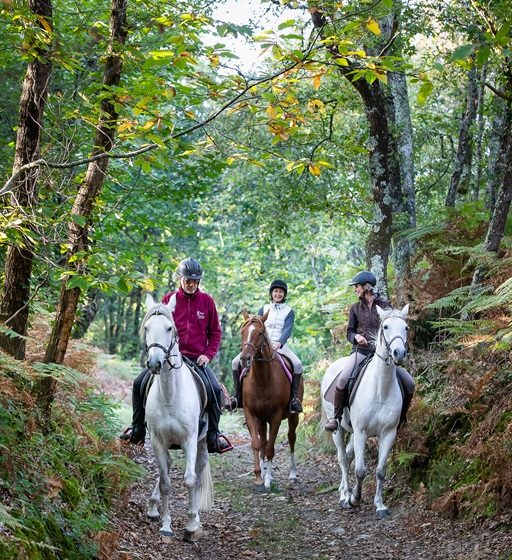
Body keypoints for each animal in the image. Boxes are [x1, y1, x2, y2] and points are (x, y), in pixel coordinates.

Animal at [142, 296, 212, 540]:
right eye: (146, 328)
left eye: (169, 328)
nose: (155, 363)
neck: (170, 395)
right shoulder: (157, 440)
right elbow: (165, 482)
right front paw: (165, 525)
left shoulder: (189, 440)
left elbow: (190, 480)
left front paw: (191, 526)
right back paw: (153, 507)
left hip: (202, 444)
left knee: (198, 475)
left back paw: (196, 518)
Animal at [240, 310, 304, 490]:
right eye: (242, 332)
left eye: (260, 333)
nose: (245, 359)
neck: (262, 379)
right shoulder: (251, 414)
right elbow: (257, 444)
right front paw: (258, 477)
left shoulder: (275, 417)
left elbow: (270, 448)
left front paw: (268, 480)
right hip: (262, 420)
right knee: (262, 442)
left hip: (293, 417)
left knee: (291, 438)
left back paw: (292, 474)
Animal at [322, 304, 410, 520]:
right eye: (385, 327)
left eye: (406, 328)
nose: (399, 353)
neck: (380, 389)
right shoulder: (362, 432)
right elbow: (361, 470)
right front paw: (355, 499)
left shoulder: (388, 434)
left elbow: (380, 471)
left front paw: (380, 505)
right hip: (339, 429)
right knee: (342, 458)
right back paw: (344, 496)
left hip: (353, 432)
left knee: (347, 455)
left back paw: (343, 491)